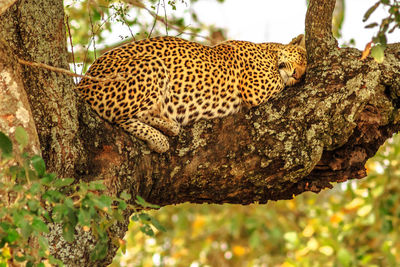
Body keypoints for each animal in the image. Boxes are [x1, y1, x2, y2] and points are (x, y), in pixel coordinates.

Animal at [77, 34, 306, 154]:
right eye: (303, 59)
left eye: (304, 73)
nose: (297, 75)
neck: (270, 51)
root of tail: (83, 81)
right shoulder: (256, 87)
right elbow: (278, 81)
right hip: (151, 65)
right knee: (118, 117)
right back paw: (159, 139)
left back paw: (169, 126)